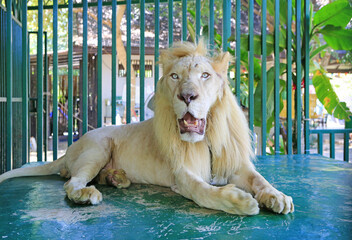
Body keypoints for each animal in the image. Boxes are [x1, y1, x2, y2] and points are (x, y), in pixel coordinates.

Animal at [0, 41, 294, 216]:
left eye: (205, 75)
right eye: (175, 77)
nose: (187, 96)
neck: (207, 138)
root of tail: (67, 152)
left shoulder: (236, 164)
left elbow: (259, 179)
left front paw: (277, 196)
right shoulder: (182, 175)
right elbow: (203, 191)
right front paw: (240, 201)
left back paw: (116, 178)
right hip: (99, 147)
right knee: (71, 183)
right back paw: (86, 194)